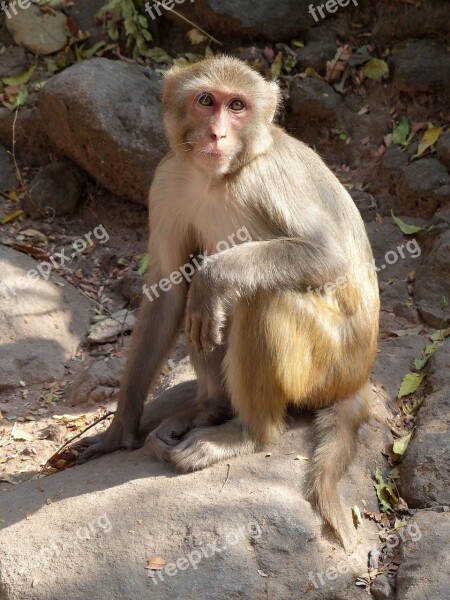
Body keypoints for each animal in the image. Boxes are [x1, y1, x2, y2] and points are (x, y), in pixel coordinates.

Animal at [77, 56, 380, 548]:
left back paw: (247, 434)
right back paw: (211, 408)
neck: (217, 178)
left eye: (237, 106)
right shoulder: (168, 179)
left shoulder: (265, 179)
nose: (218, 134)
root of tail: (359, 378)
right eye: (206, 101)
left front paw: (214, 277)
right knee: (201, 301)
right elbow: (168, 288)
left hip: (330, 368)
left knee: (259, 299)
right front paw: (119, 431)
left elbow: (326, 255)